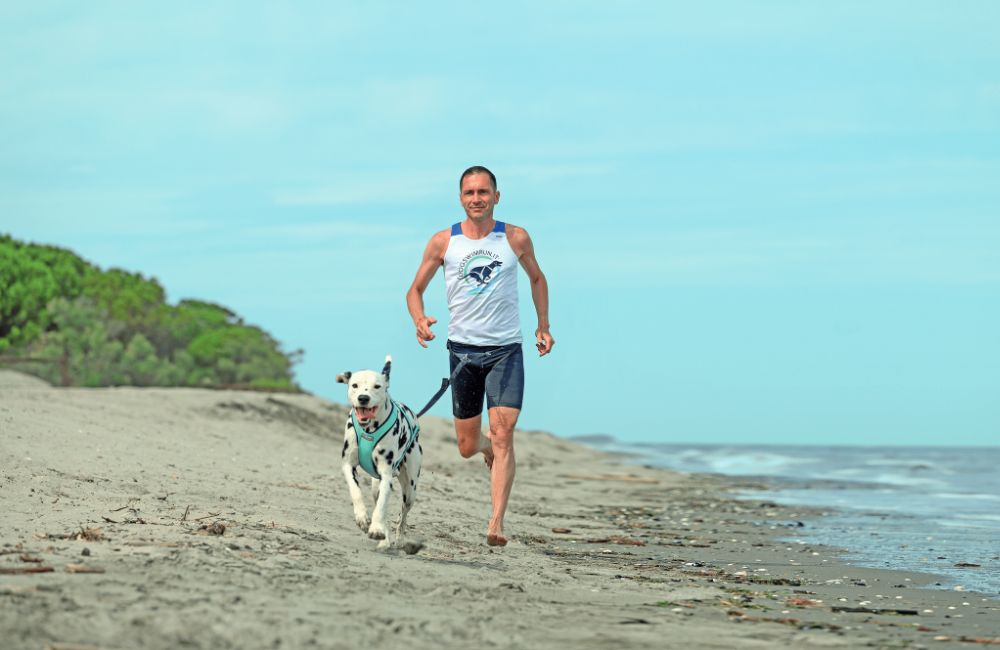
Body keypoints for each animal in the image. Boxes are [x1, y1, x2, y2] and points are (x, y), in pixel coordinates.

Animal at [336, 354, 422, 548]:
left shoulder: (386, 475)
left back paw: (399, 539)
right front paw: (362, 518)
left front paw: (375, 528)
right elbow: (356, 492)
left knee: (402, 516)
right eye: (355, 385)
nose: (363, 398)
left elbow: (382, 507)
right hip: (378, 485)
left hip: (410, 489)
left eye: (377, 386)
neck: (369, 429)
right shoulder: (348, 465)